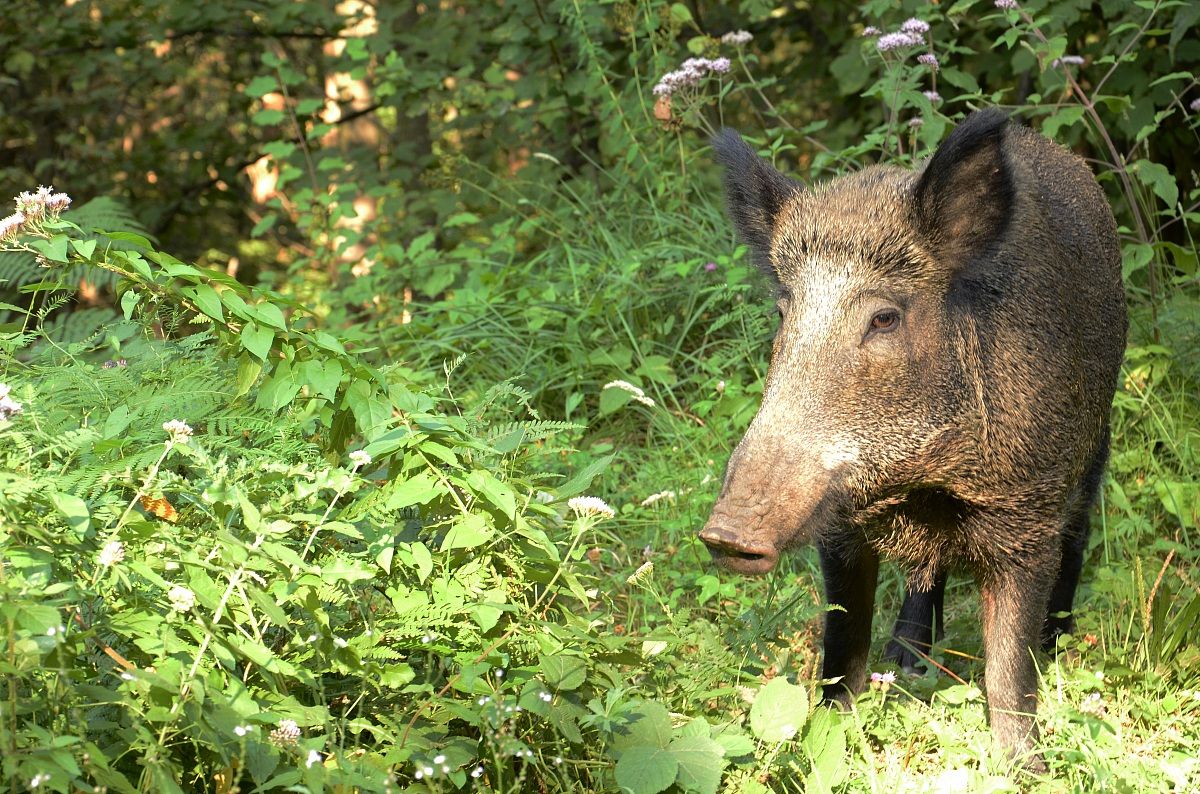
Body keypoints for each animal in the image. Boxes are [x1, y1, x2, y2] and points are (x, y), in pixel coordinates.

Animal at [699, 108, 1125, 769]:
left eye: (884, 317)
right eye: (783, 312)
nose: (726, 534)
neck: (921, 480)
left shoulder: (1026, 514)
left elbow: (1008, 667)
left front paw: (1023, 767)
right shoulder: (839, 528)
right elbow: (843, 642)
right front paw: (831, 736)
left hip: (1096, 437)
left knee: (1078, 531)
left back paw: (1056, 637)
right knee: (926, 572)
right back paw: (905, 659)